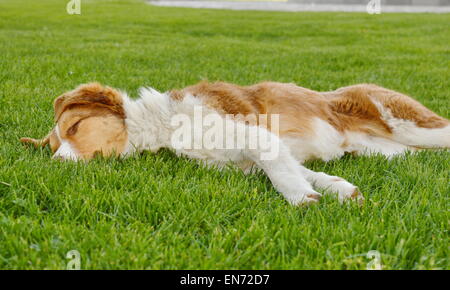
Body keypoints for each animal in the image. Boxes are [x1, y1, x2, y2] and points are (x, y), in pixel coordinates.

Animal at [21, 80, 450, 205]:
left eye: (75, 127)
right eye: (53, 145)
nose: (56, 166)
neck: (167, 126)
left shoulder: (257, 135)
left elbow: (278, 168)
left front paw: (299, 198)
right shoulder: (245, 161)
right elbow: (298, 169)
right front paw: (336, 189)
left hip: (415, 125)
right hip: (390, 152)